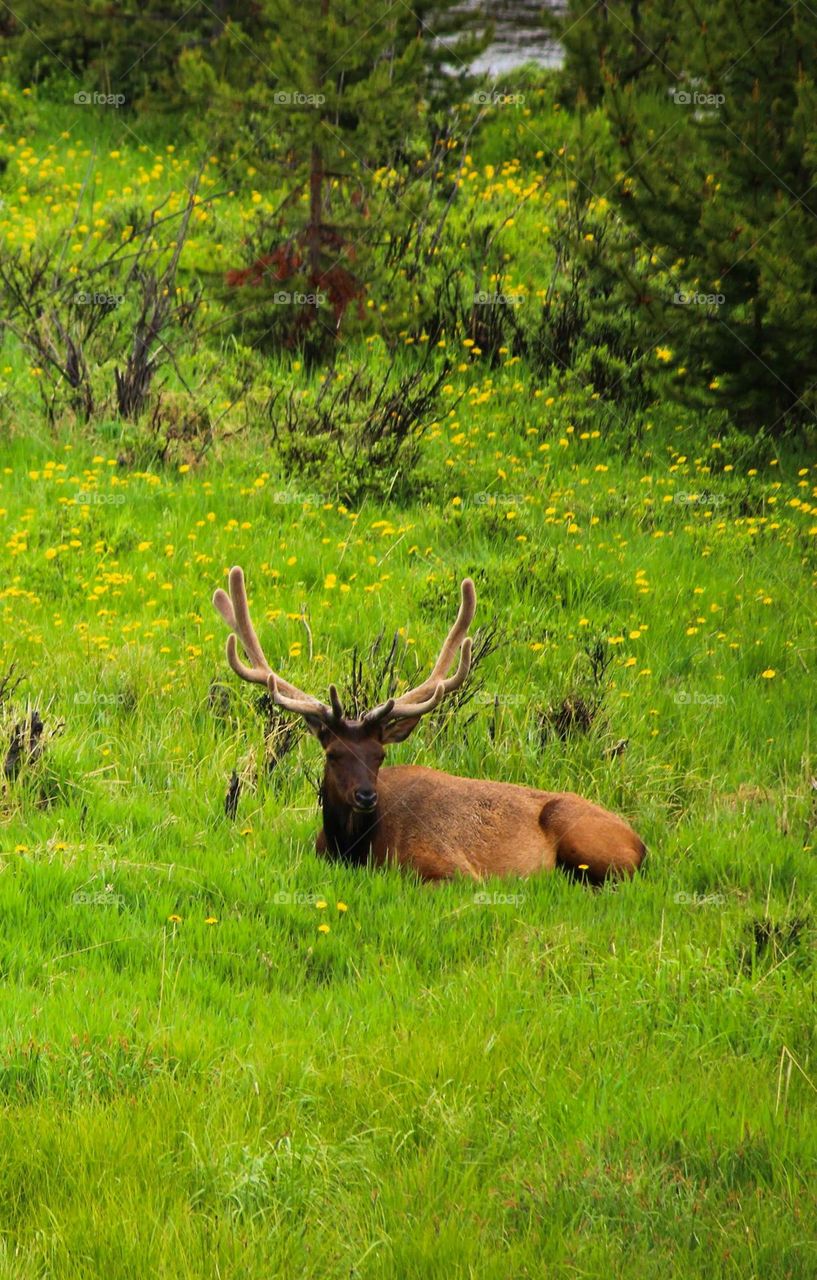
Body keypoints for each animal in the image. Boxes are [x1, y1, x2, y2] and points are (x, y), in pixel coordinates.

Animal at [213, 567, 646, 884]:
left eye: (379, 755)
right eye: (334, 753)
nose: (366, 795)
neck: (353, 850)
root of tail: (641, 843)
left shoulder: (453, 869)